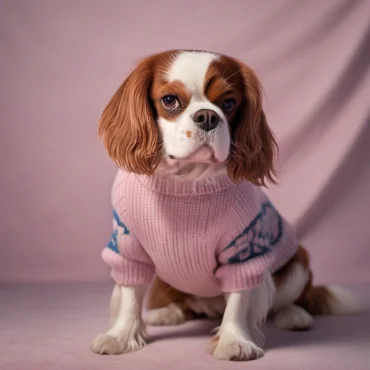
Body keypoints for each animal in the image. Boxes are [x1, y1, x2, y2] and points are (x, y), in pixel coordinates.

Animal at [90, 49, 358, 362]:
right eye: (169, 100)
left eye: (229, 103)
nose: (207, 116)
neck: (187, 181)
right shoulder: (128, 248)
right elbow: (130, 296)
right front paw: (121, 336)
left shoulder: (243, 254)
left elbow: (239, 302)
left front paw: (233, 341)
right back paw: (168, 312)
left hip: (297, 262)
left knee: (286, 299)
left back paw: (294, 315)